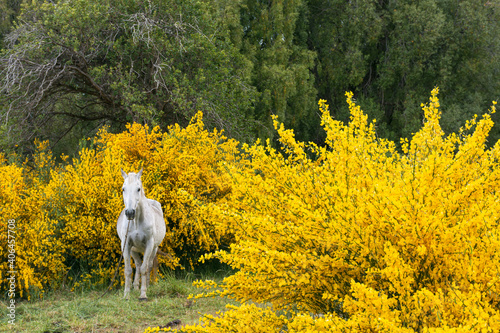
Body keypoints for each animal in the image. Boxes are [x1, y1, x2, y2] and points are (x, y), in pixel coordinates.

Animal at [117, 167, 166, 300]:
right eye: (123, 189)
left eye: (138, 189)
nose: (129, 213)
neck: (136, 221)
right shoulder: (126, 245)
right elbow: (128, 270)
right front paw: (126, 295)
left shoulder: (149, 244)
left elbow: (145, 269)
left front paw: (143, 294)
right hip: (134, 250)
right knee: (138, 265)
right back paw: (135, 287)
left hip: (153, 249)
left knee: (148, 266)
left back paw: (147, 286)